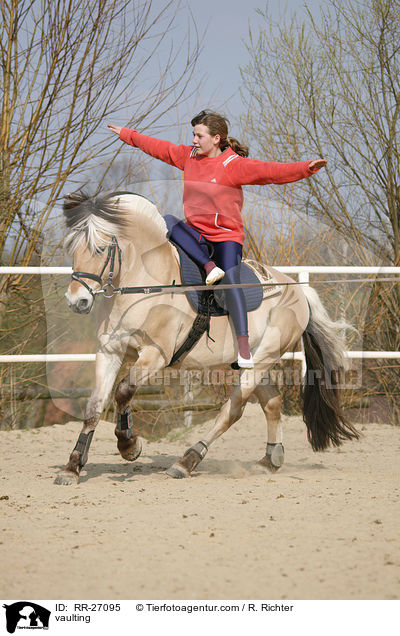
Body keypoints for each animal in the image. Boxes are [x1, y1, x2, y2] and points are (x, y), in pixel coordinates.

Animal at [54, 191, 360, 484]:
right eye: (72, 249)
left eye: (99, 248)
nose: (76, 301)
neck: (145, 285)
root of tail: (298, 291)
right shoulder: (109, 352)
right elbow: (94, 407)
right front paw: (72, 467)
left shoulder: (155, 355)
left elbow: (123, 391)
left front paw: (129, 446)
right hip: (253, 363)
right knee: (272, 403)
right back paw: (269, 461)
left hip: (263, 360)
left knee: (232, 411)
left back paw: (186, 462)